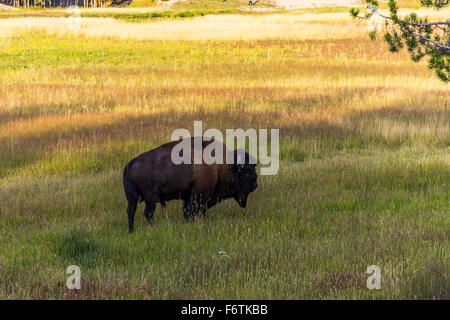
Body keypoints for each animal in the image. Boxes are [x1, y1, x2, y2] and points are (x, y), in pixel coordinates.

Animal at [122, 137, 256, 232]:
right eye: (246, 172)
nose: (255, 184)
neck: (222, 166)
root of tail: (132, 162)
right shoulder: (200, 195)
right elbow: (194, 210)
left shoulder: (190, 196)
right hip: (151, 196)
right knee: (148, 212)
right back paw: (152, 228)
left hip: (132, 197)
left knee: (131, 211)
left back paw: (131, 230)